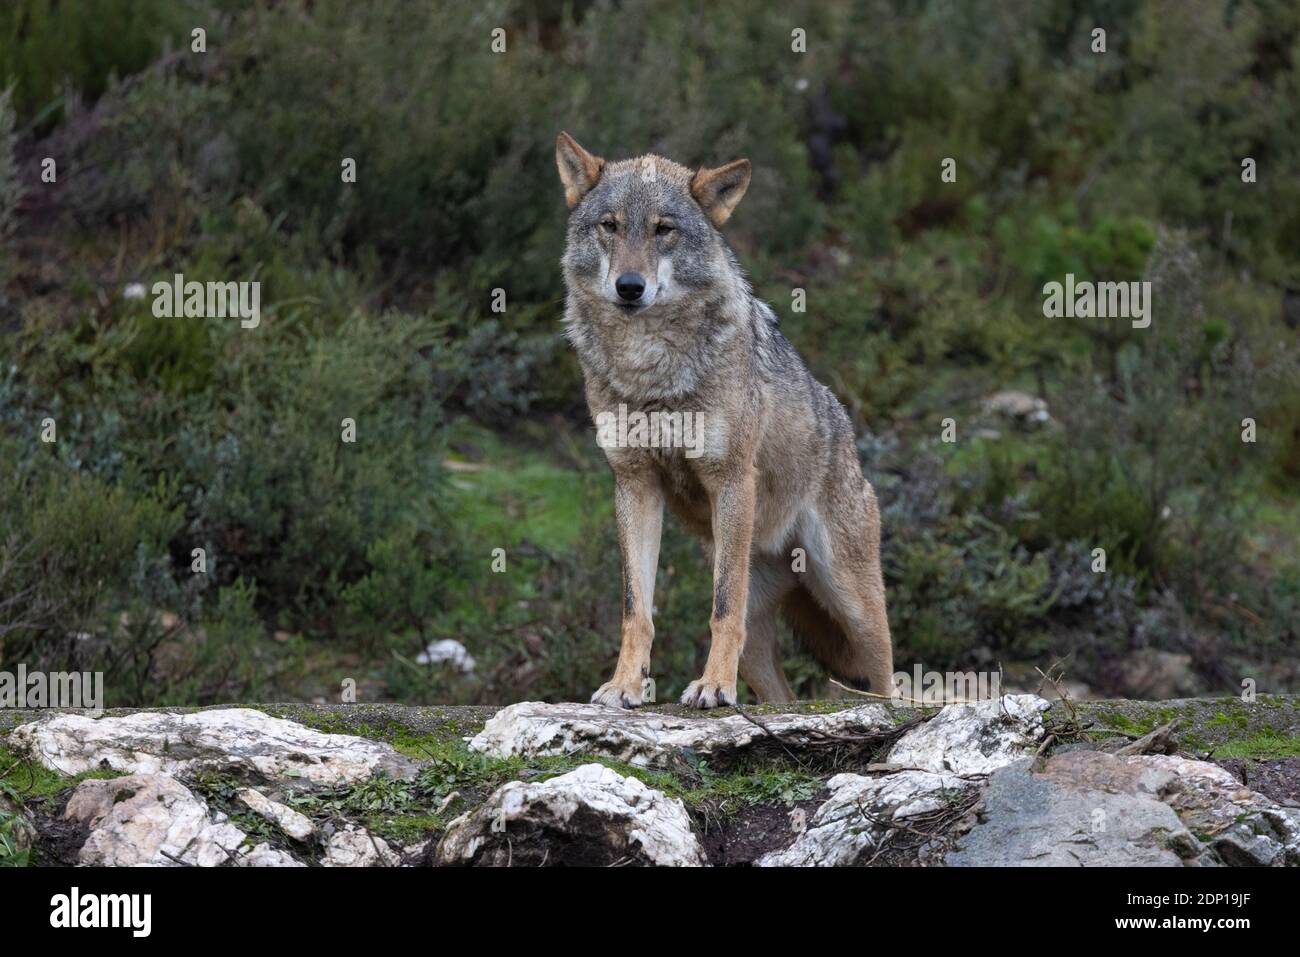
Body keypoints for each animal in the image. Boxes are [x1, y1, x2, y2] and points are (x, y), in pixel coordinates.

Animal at [556, 131, 894, 709]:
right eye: (611, 225)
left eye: (663, 230)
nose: (629, 286)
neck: (648, 370)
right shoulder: (634, 484)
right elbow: (635, 609)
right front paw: (626, 686)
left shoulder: (730, 478)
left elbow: (720, 609)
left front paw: (713, 685)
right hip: (764, 642)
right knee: (783, 695)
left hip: (851, 602)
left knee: (889, 677)